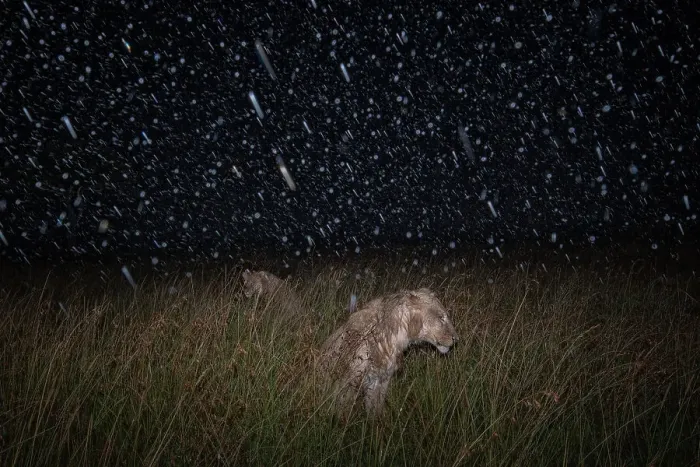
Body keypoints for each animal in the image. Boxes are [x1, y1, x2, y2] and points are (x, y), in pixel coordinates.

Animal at [319, 288, 458, 417]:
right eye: (441, 318)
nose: (456, 339)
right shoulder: (348, 382)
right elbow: (342, 410)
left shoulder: (380, 381)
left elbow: (375, 411)